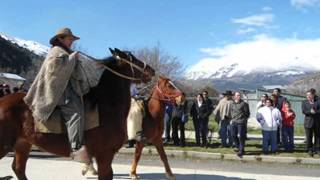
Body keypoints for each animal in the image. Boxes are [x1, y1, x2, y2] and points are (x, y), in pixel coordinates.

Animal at [0, 48, 155, 180]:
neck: (106, 106)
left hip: (22, 144)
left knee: (18, 169)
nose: (151, 70)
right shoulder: (104, 155)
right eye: (133, 59)